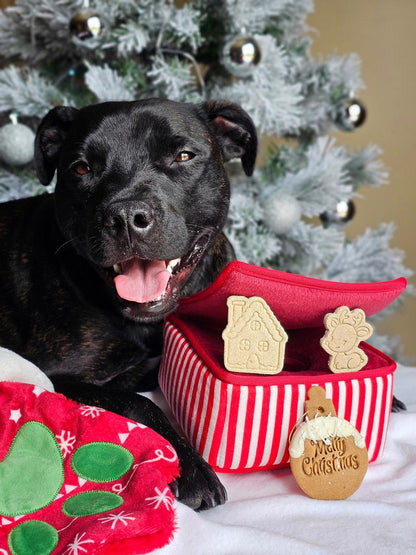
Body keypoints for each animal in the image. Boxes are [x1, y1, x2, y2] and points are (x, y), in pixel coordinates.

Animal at [0, 100, 256, 512]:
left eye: (183, 156)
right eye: (81, 168)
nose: (125, 217)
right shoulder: (58, 376)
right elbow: (140, 404)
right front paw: (191, 467)